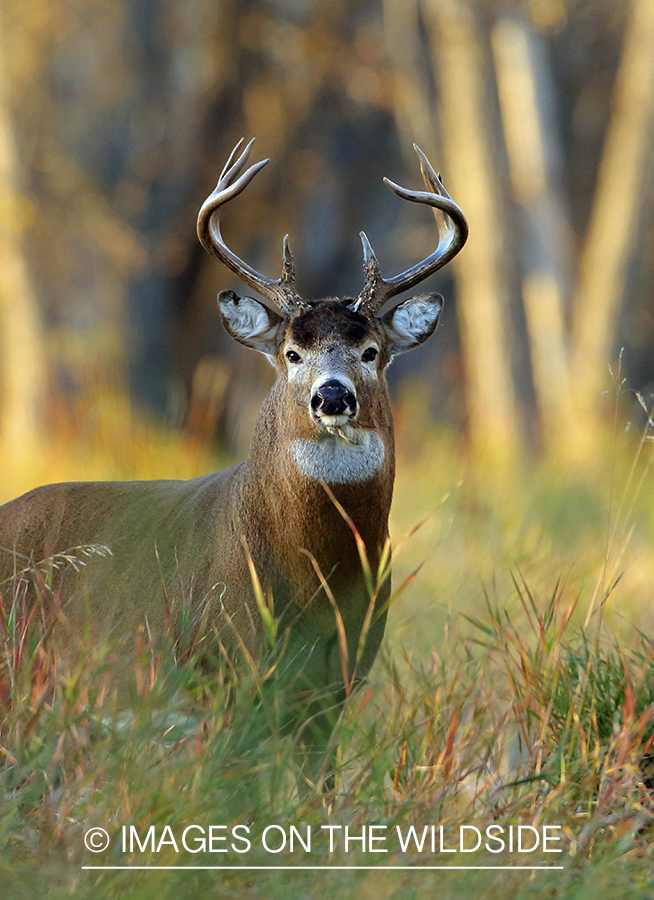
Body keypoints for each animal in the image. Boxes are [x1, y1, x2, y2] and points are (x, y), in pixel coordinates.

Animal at [0, 135, 468, 788]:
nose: (332, 396)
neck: (313, 577)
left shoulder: (334, 687)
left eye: (372, 351)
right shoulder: (219, 670)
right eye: (291, 352)